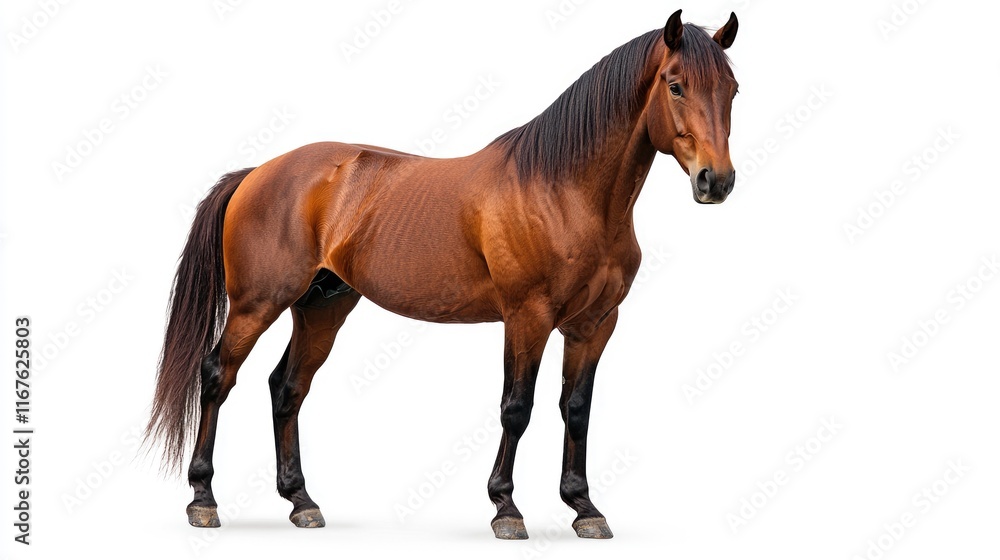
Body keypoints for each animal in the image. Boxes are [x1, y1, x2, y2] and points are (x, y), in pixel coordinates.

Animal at [145, 9, 740, 540]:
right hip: (257, 304)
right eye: (676, 85)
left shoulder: (594, 325)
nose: (716, 181)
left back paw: (302, 501)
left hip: (322, 306)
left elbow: (577, 410)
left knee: (287, 387)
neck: (563, 191)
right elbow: (516, 409)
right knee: (218, 375)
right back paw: (203, 499)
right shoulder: (527, 318)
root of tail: (258, 172)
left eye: (732, 90)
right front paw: (506, 509)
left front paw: (584, 508)